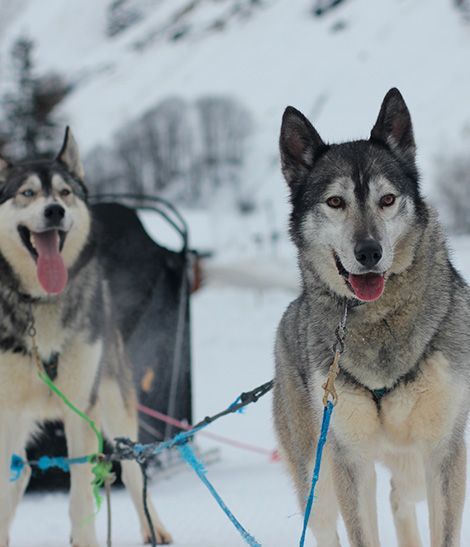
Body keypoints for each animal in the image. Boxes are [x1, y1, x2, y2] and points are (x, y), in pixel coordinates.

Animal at [0, 130, 173, 547]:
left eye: (64, 192)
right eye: (27, 193)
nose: (54, 211)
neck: (40, 304)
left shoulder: (80, 408)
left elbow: (81, 497)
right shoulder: (5, 411)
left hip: (113, 398)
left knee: (133, 468)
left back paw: (154, 528)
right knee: (19, 473)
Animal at [272, 88, 470, 544]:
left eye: (387, 199)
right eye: (335, 202)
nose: (369, 252)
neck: (377, 321)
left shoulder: (443, 450)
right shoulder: (349, 459)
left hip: (412, 462)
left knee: (400, 497)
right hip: (316, 474)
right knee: (325, 523)